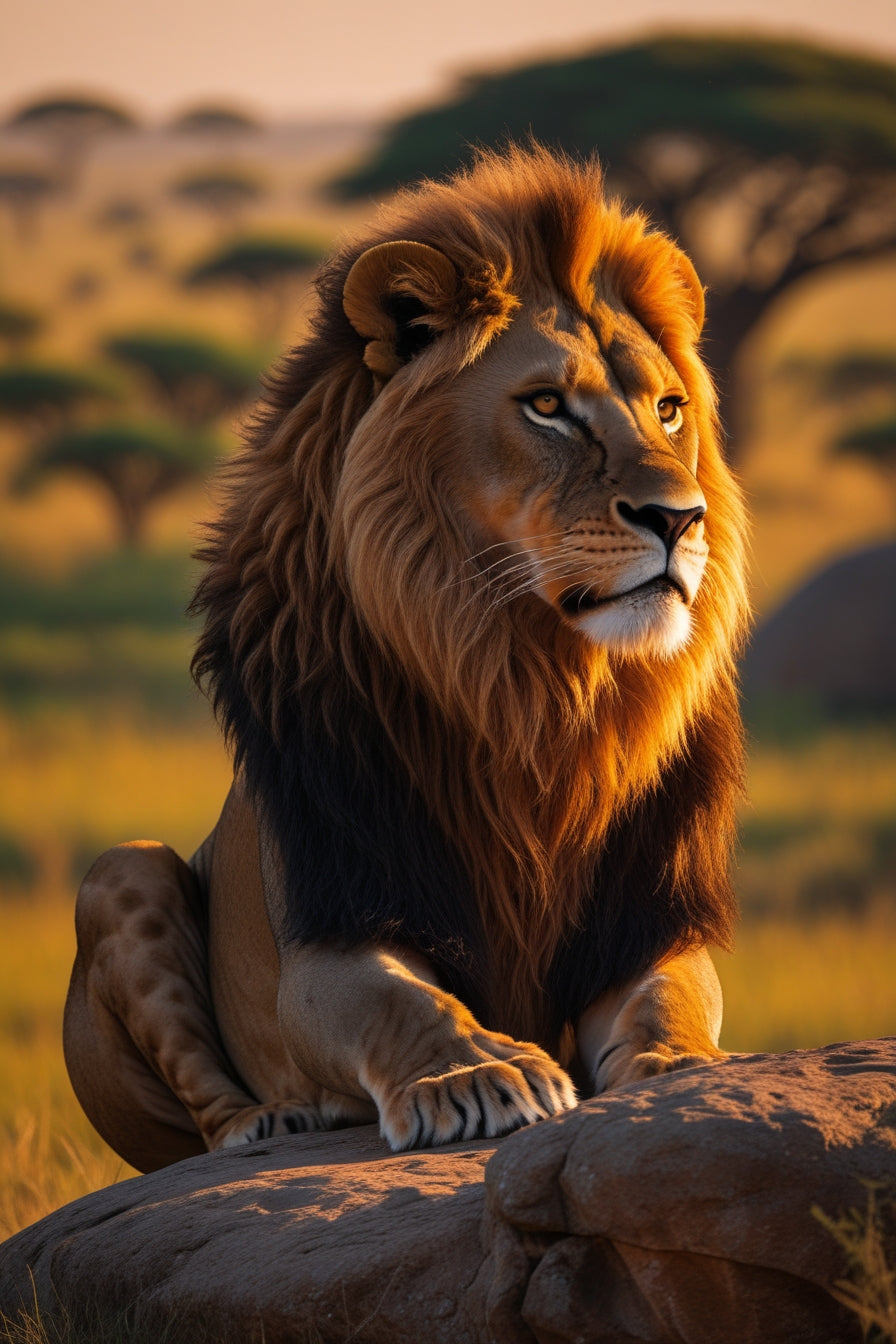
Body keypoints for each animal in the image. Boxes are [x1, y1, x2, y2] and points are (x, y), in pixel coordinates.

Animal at [63, 146, 749, 1173]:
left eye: (670, 411)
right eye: (548, 407)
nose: (681, 518)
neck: (533, 688)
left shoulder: (644, 921)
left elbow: (670, 999)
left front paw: (681, 1070)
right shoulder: (337, 925)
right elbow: (404, 1001)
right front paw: (477, 1074)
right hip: (123, 869)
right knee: (202, 1115)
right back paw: (275, 1121)